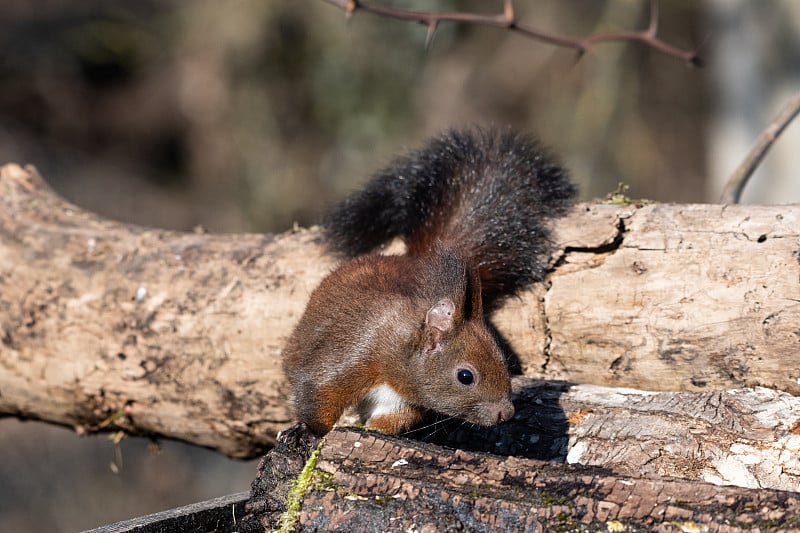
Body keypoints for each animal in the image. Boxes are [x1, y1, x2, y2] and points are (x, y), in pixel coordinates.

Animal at [282, 127, 576, 434]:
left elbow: (392, 417)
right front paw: (308, 433)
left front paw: (372, 429)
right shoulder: (352, 355)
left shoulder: (400, 399)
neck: (400, 350)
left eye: (503, 361)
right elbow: (318, 394)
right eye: (465, 376)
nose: (505, 414)